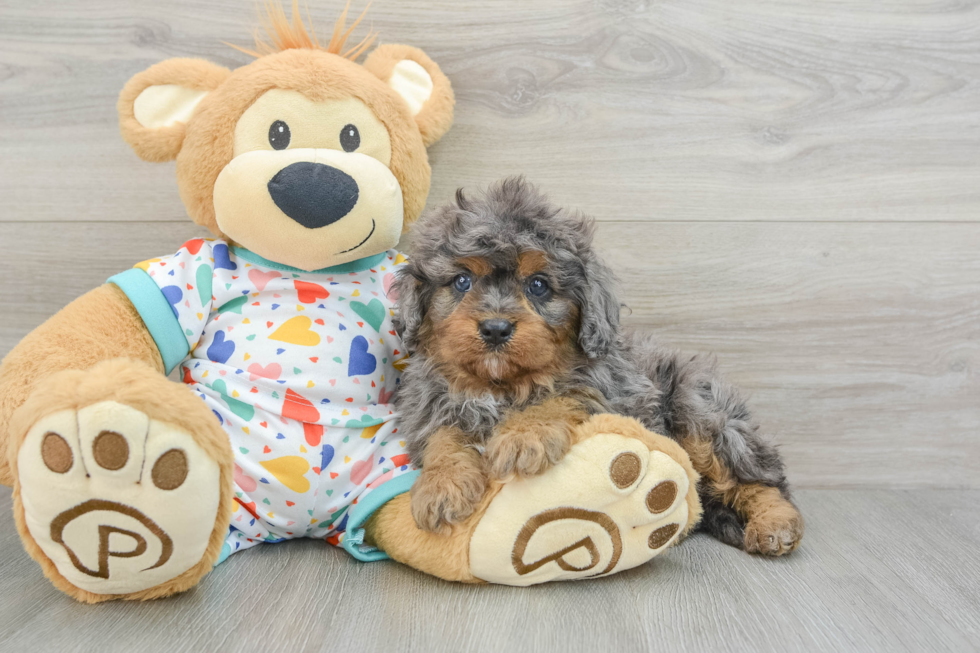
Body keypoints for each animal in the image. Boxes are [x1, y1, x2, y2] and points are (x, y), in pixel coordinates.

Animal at [390, 177, 804, 556]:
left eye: (538, 285)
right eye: (462, 280)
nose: (495, 328)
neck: (500, 385)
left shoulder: (614, 393)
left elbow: (565, 394)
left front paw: (524, 435)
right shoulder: (430, 406)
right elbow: (442, 436)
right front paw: (441, 486)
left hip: (701, 414)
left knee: (759, 479)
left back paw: (776, 524)